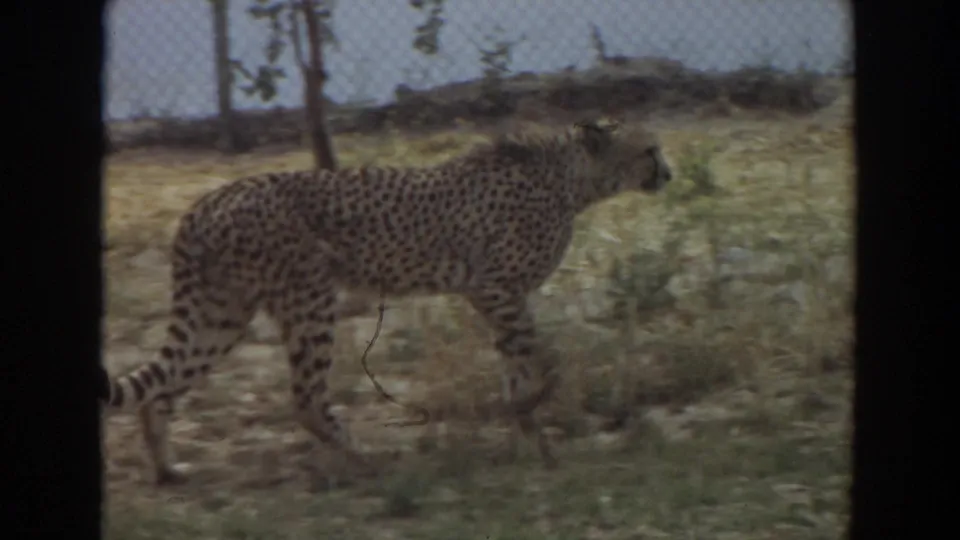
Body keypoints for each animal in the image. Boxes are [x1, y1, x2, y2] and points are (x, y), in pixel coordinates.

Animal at [101, 117, 673, 486]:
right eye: (649, 150)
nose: (669, 174)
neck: (569, 178)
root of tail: (204, 201)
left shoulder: (498, 297)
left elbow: (516, 366)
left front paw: (532, 443)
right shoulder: (493, 288)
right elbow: (543, 361)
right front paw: (534, 416)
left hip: (223, 311)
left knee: (161, 391)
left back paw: (167, 469)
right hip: (309, 300)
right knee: (305, 399)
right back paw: (365, 460)